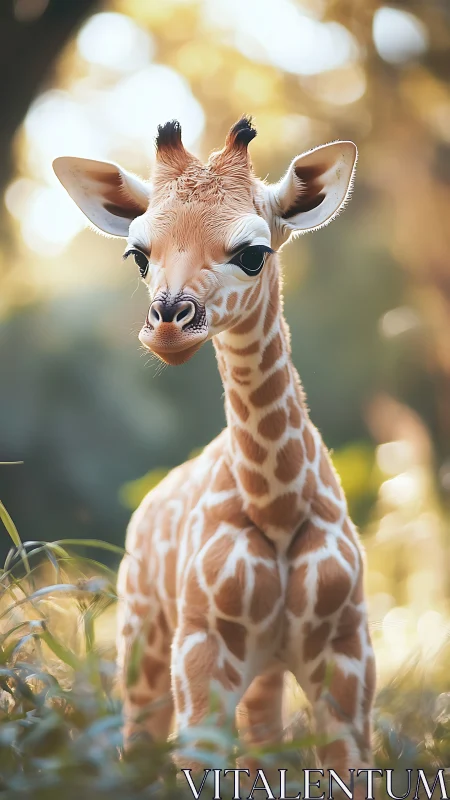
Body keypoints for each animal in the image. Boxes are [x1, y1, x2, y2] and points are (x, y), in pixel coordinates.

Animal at [53, 117, 376, 778]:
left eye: (253, 253)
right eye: (138, 255)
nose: (169, 324)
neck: (276, 508)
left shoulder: (347, 659)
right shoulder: (202, 655)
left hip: (261, 673)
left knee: (261, 742)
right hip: (145, 645)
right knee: (139, 748)